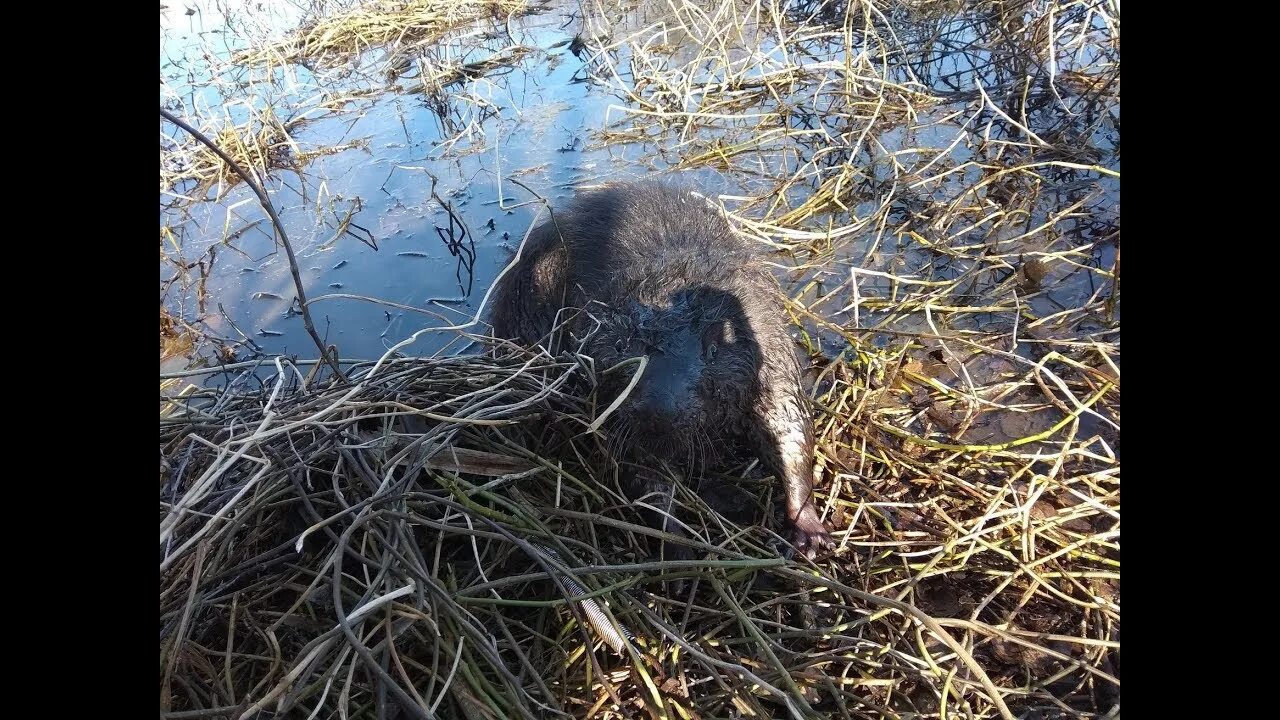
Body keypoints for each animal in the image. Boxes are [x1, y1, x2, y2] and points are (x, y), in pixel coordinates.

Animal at [486, 179, 829, 556]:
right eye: (622, 347)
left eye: (713, 349)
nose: (658, 412)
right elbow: (643, 475)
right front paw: (678, 547)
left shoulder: (770, 347)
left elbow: (790, 428)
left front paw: (809, 533)